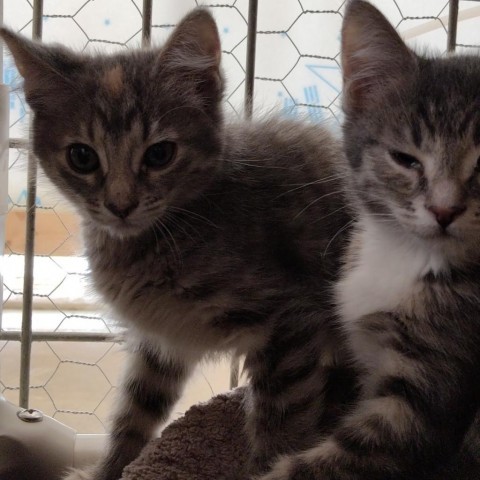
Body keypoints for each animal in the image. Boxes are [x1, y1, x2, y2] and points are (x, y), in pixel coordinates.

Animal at [0, 8, 356, 480]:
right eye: (82, 157)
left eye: (159, 154)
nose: (120, 205)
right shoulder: (161, 337)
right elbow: (137, 408)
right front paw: (110, 468)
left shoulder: (291, 320)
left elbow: (282, 419)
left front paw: (268, 465)